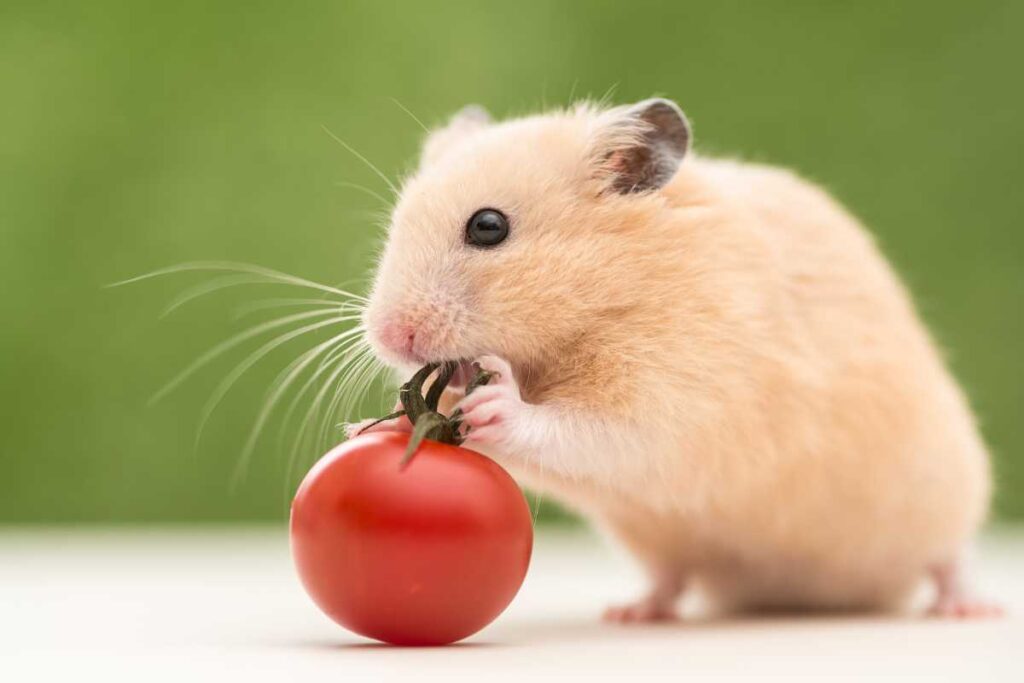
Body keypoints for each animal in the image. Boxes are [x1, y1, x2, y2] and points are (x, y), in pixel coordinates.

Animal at [351, 98, 1000, 621]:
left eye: (488, 227)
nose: (390, 335)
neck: (608, 299)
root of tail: (826, 597)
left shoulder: (676, 400)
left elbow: (587, 429)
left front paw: (498, 400)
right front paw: (368, 425)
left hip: (946, 489)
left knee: (949, 558)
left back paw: (969, 608)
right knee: (671, 578)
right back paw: (632, 612)